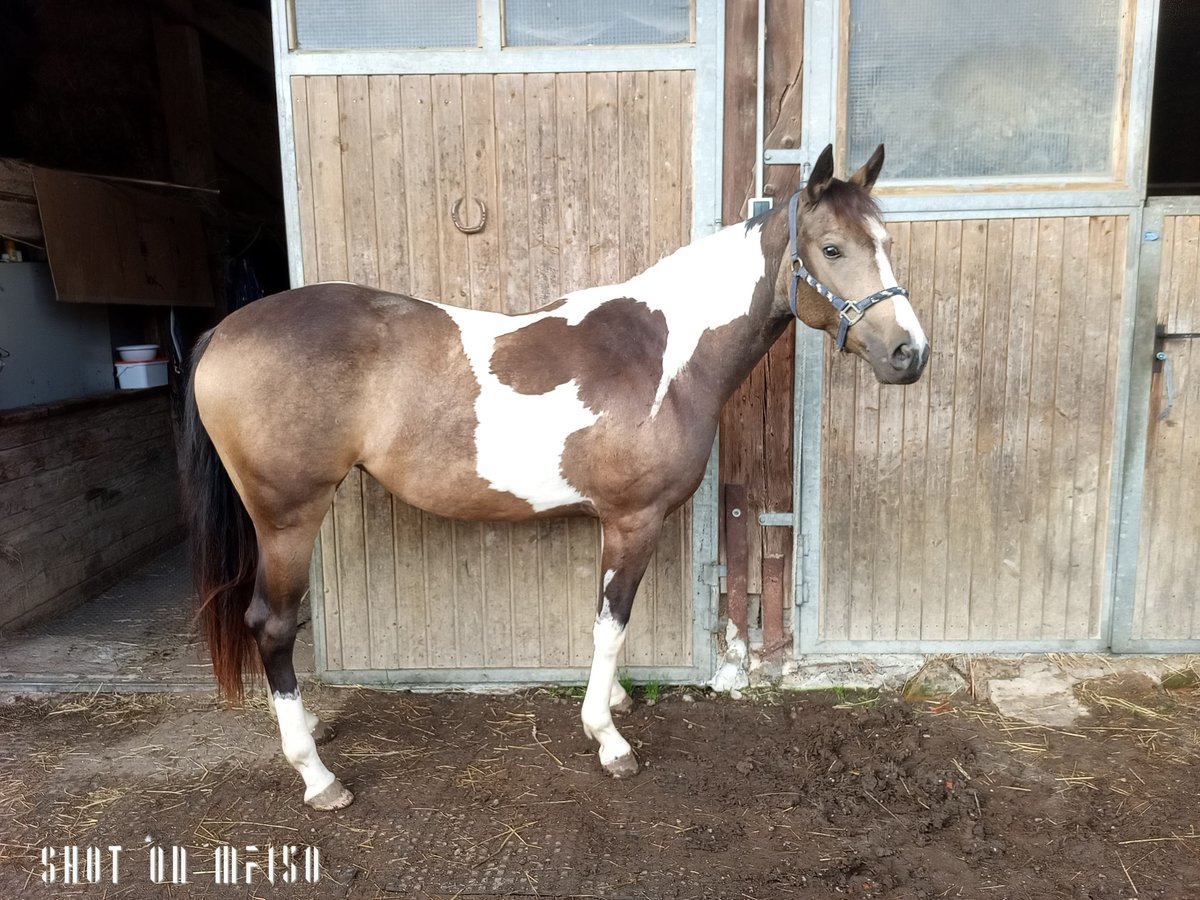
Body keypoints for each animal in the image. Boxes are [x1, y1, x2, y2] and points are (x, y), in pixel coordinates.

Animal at [180, 144, 926, 816]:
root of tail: (223, 331)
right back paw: (316, 775)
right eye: (831, 249)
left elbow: (606, 624)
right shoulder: (633, 519)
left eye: (886, 242)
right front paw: (608, 737)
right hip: (288, 517)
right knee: (272, 626)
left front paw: (615, 701)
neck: (662, 356)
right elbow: (610, 623)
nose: (909, 353)